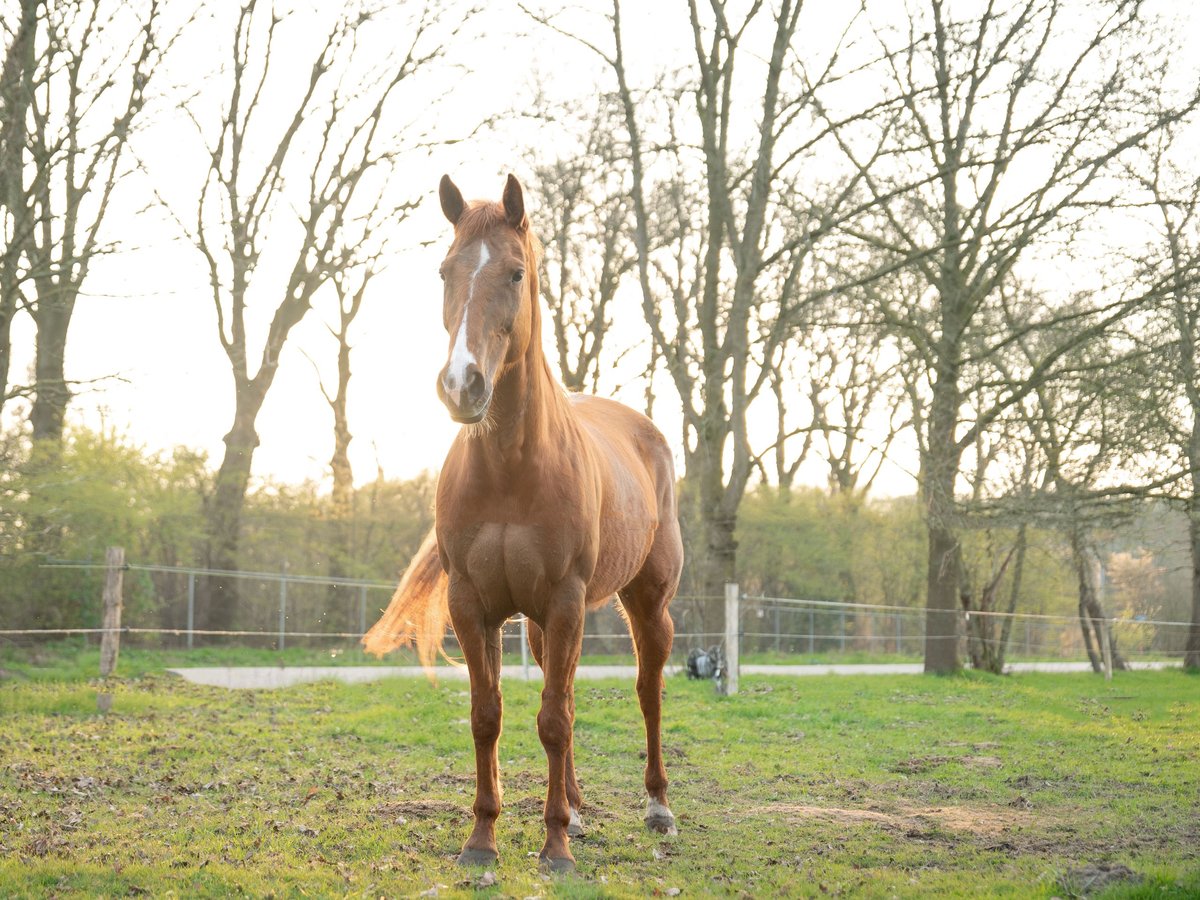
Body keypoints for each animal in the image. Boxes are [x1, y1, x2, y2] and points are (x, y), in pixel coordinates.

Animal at [362, 172, 686, 868]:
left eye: (514, 272)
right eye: (444, 270)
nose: (462, 385)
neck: (511, 468)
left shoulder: (565, 601)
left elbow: (555, 721)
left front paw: (555, 846)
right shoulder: (474, 606)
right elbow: (491, 716)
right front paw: (482, 839)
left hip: (646, 604)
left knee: (646, 692)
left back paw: (657, 807)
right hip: (542, 623)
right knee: (565, 691)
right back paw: (580, 808)